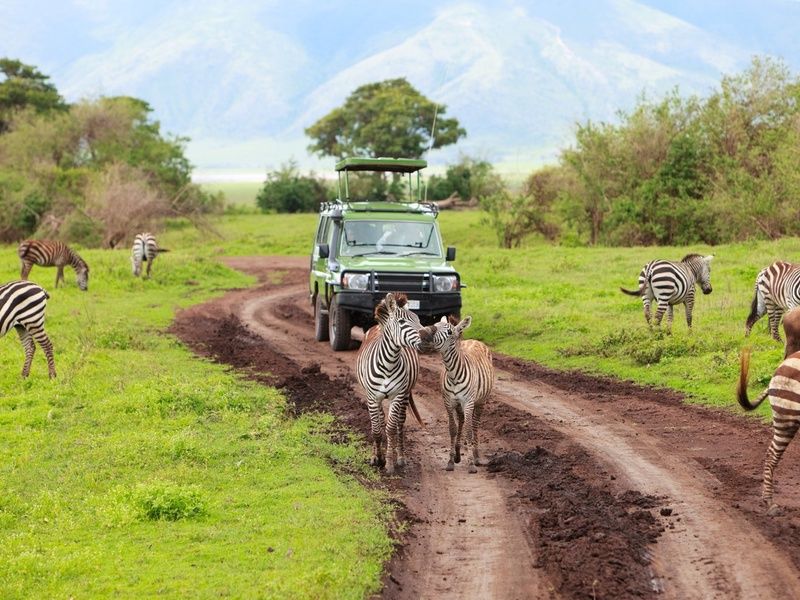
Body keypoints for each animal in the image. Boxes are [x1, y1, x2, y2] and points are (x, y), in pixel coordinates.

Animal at [358, 292, 428, 476]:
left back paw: (400, 457)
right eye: (402, 322)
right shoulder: (372, 397)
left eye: (418, 319)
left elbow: (390, 428)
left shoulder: (397, 396)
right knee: (380, 421)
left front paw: (389, 463)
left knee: (399, 423)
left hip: (405, 395)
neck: (388, 363)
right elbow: (376, 429)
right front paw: (377, 458)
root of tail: (377, 326)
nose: (427, 337)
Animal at [418, 314, 494, 474]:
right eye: (435, 324)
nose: (423, 333)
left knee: (475, 425)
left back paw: (476, 456)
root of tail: (474, 340)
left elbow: (469, 431)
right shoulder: (448, 402)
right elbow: (452, 429)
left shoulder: (468, 402)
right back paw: (459, 453)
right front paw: (451, 461)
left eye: (449, 332)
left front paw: (471, 464)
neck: (453, 374)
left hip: (480, 401)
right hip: (460, 405)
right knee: (462, 421)